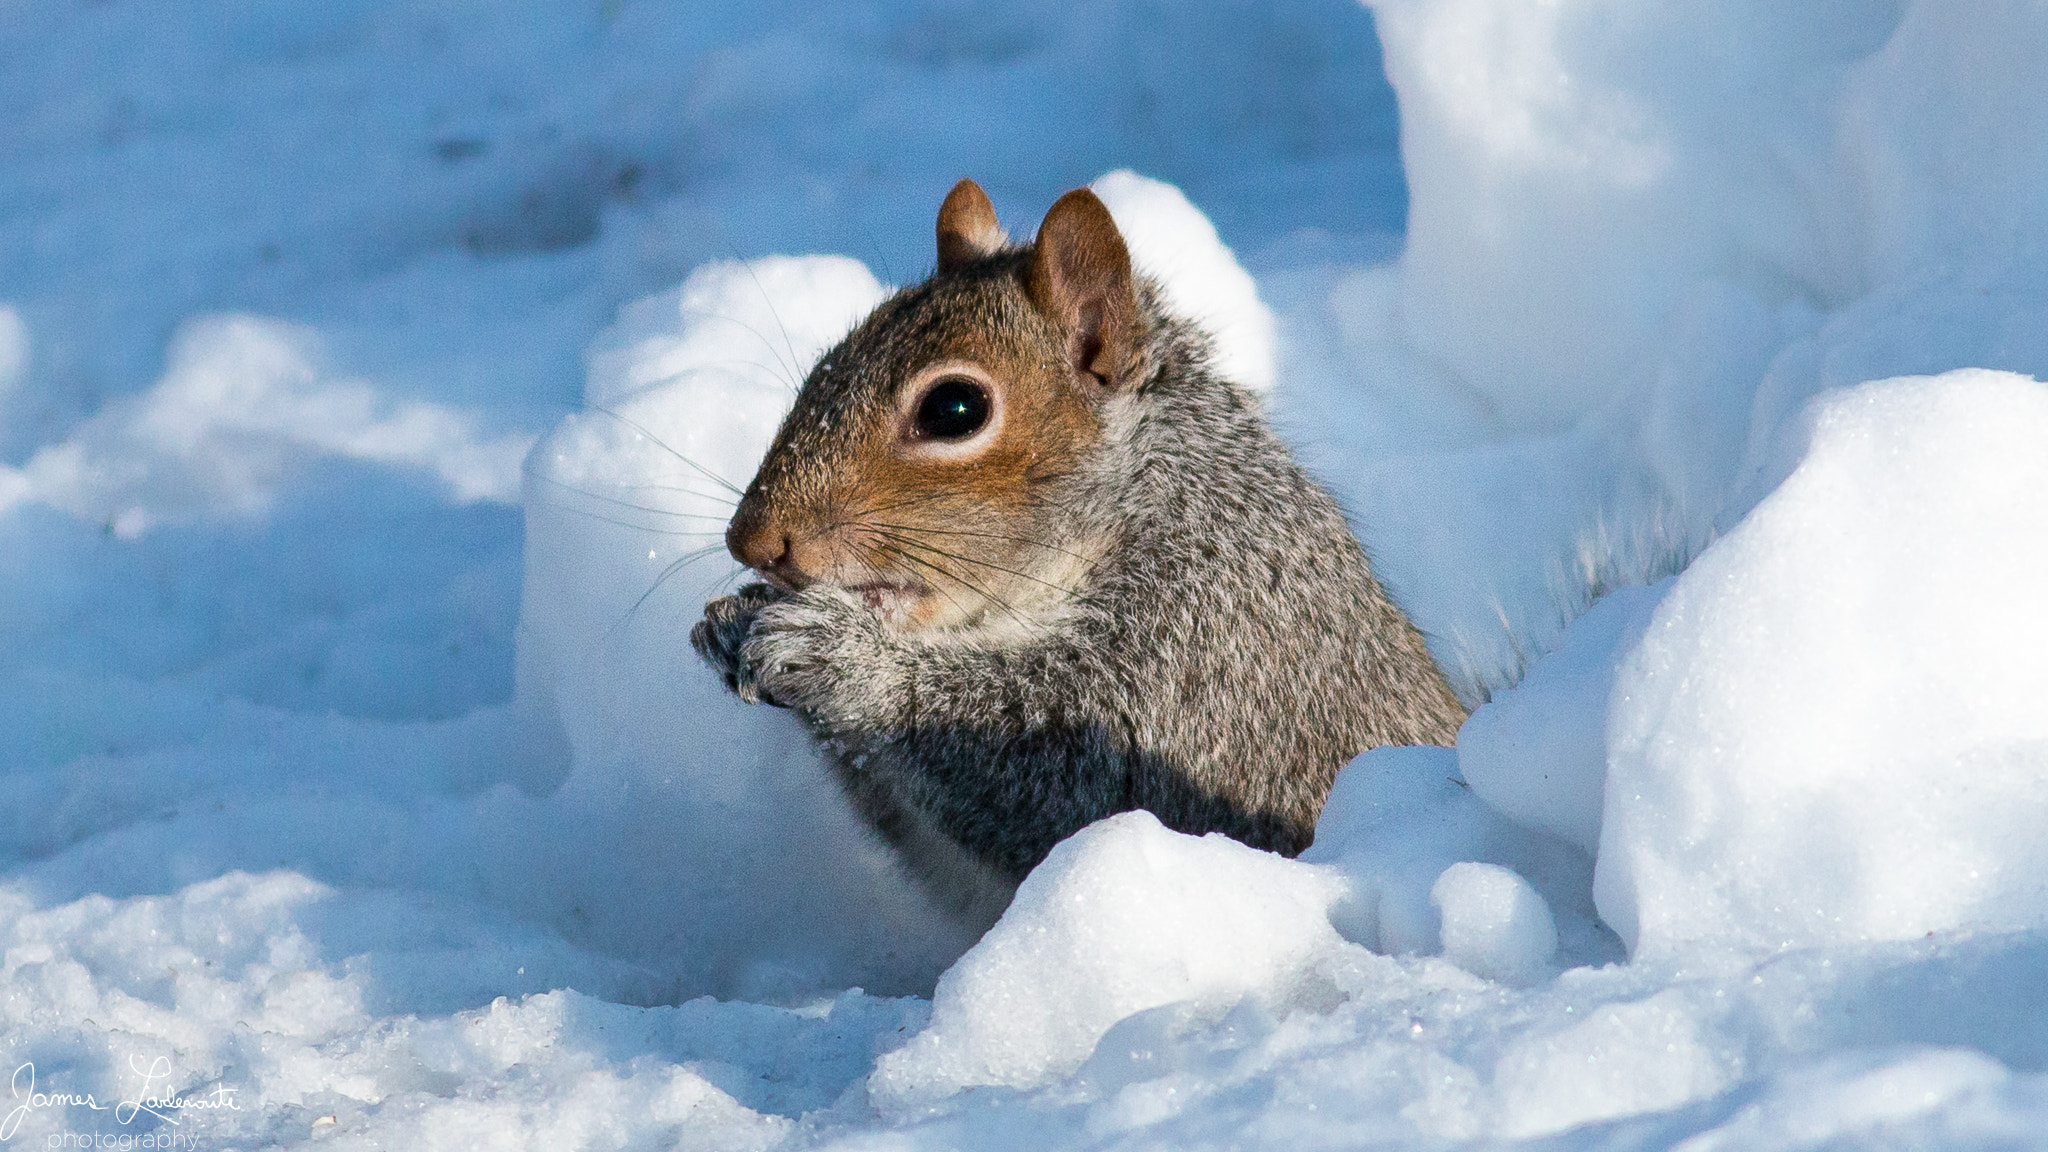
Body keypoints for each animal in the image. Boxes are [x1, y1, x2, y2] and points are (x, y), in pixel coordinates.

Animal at [696, 179, 1466, 926]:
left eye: (954, 409)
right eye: (822, 367)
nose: (752, 540)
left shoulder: (1218, 648)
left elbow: (1073, 775)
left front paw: (838, 655)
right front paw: (732, 622)